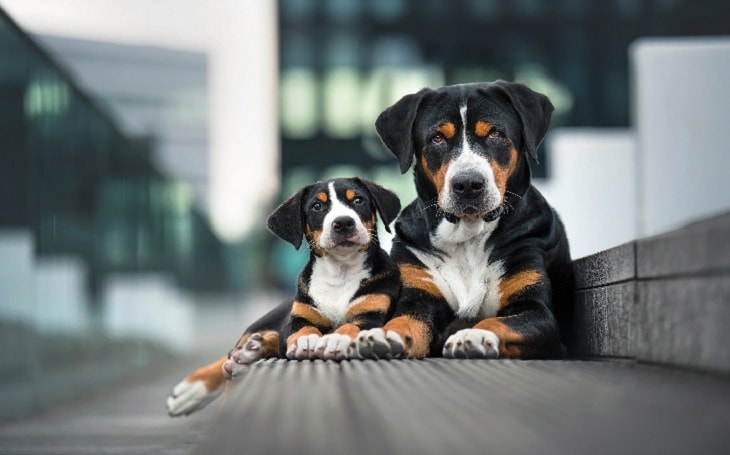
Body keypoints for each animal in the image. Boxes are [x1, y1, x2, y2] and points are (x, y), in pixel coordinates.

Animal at [166, 177, 398, 416]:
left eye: (359, 200)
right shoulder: (297, 319)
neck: (340, 273)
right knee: (232, 362)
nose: (343, 223)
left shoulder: (370, 315)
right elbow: (301, 331)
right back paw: (198, 386)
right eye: (317, 206)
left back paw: (251, 351)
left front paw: (336, 338)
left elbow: (350, 326)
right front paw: (307, 340)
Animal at [354, 80, 576, 362]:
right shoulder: (419, 296)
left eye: (495, 134)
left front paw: (474, 335)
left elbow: (497, 321)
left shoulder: (536, 310)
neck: (467, 237)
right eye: (437, 138)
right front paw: (385, 334)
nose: (468, 183)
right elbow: (404, 320)